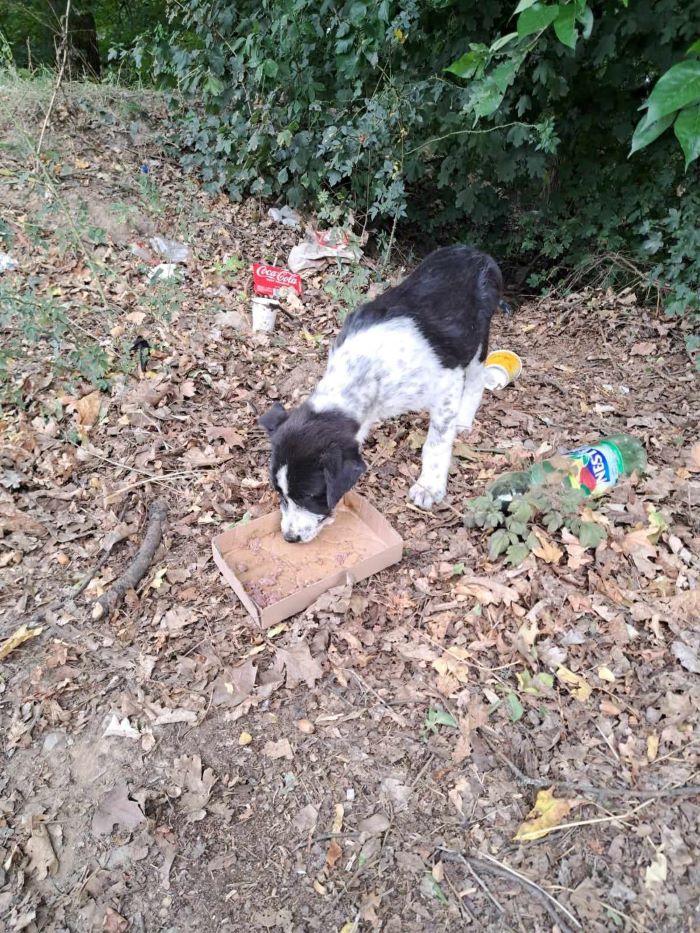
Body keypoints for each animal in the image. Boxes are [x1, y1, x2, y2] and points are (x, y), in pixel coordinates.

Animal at [260, 244, 500, 544]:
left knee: (477, 378)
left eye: (310, 495)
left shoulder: (448, 382)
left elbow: (436, 442)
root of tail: (474, 251)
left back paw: (464, 421)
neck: (363, 369)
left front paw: (429, 487)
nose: (289, 538)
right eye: (279, 493)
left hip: (477, 338)